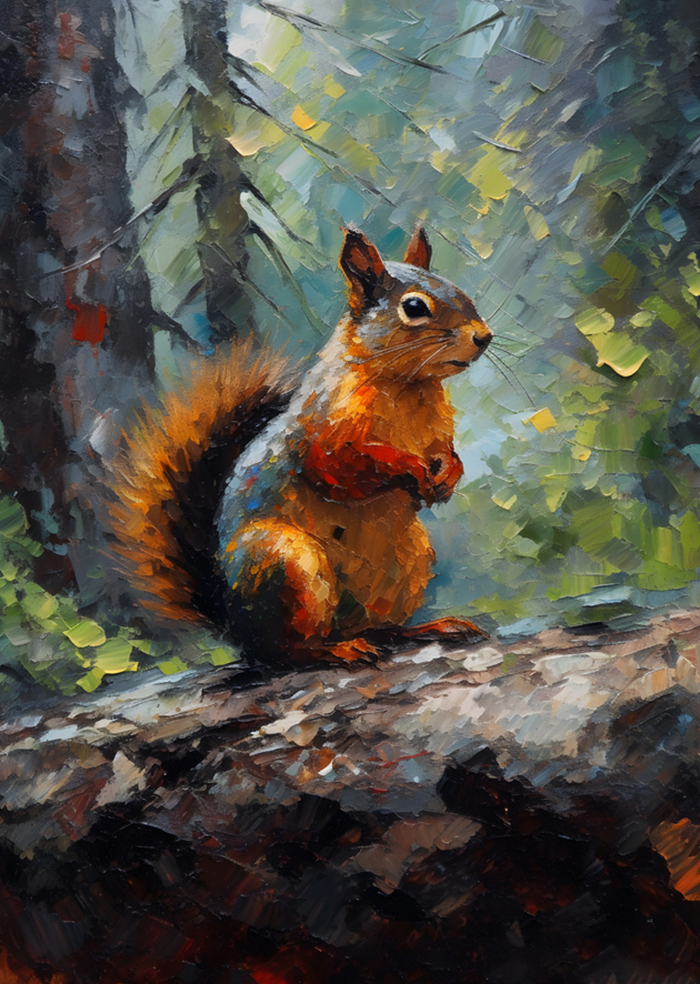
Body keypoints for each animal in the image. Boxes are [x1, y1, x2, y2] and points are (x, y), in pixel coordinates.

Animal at [106, 225, 493, 662]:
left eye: (459, 290)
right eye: (414, 307)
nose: (484, 337)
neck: (409, 388)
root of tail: (234, 627)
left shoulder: (437, 435)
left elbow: (445, 455)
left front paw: (449, 475)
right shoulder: (320, 436)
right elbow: (345, 466)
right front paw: (409, 468)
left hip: (408, 563)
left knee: (381, 629)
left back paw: (428, 628)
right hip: (288, 565)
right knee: (288, 652)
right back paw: (337, 650)